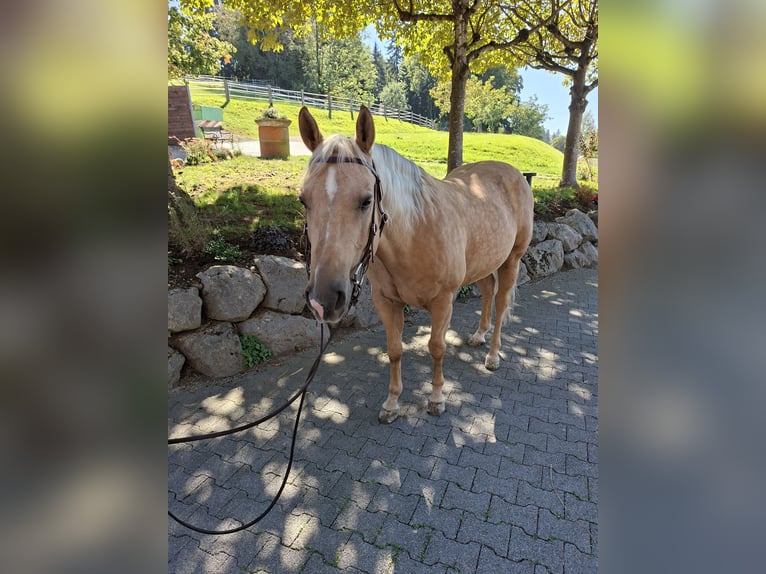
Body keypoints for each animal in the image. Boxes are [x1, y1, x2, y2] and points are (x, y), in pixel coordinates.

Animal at [298, 106, 534, 424]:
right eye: (304, 200)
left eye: (366, 200)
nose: (322, 300)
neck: (415, 232)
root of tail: (516, 174)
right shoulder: (386, 302)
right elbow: (395, 350)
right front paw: (392, 403)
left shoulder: (443, 301)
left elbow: (436, 347)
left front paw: (436, 399)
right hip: (483, 263)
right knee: (487, 292)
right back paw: (478, 335)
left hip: (512, 260)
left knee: (501, 301)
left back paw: (493, 355)